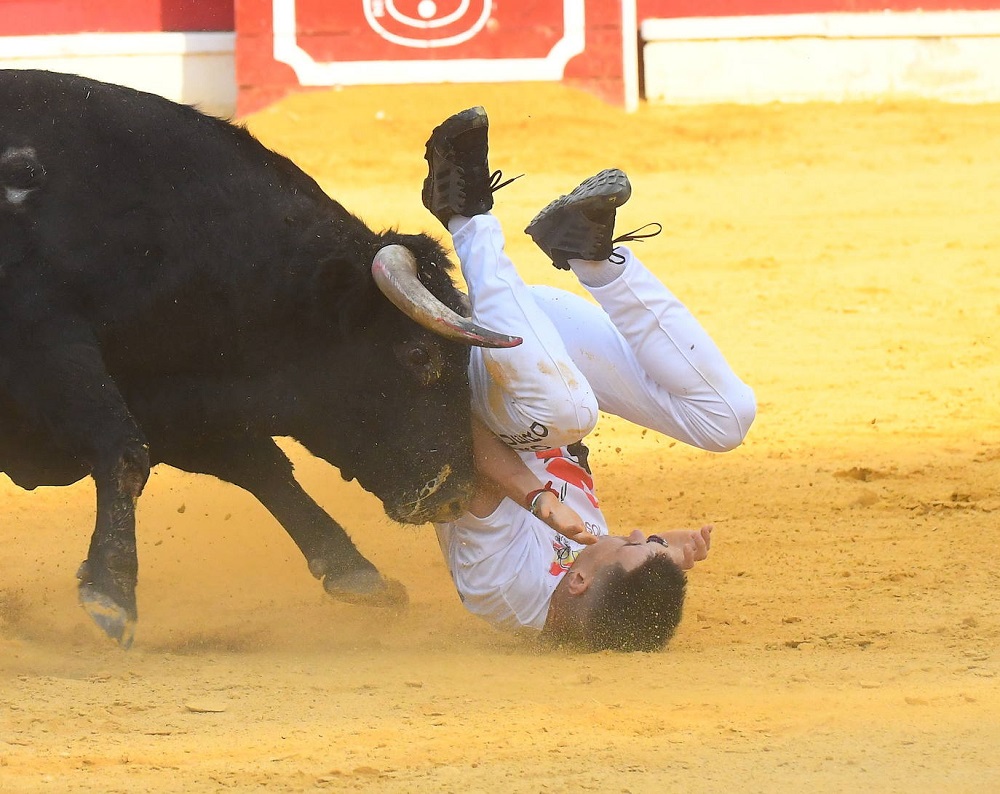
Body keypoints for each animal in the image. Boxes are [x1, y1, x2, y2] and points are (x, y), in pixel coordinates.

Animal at [0, 71, 516, 648]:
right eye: (418, 355)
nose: (454, 495)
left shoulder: (169, 390)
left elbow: (261, 466)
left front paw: (361, 577)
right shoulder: (44, 343)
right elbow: (126, 449)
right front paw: (111, 593)